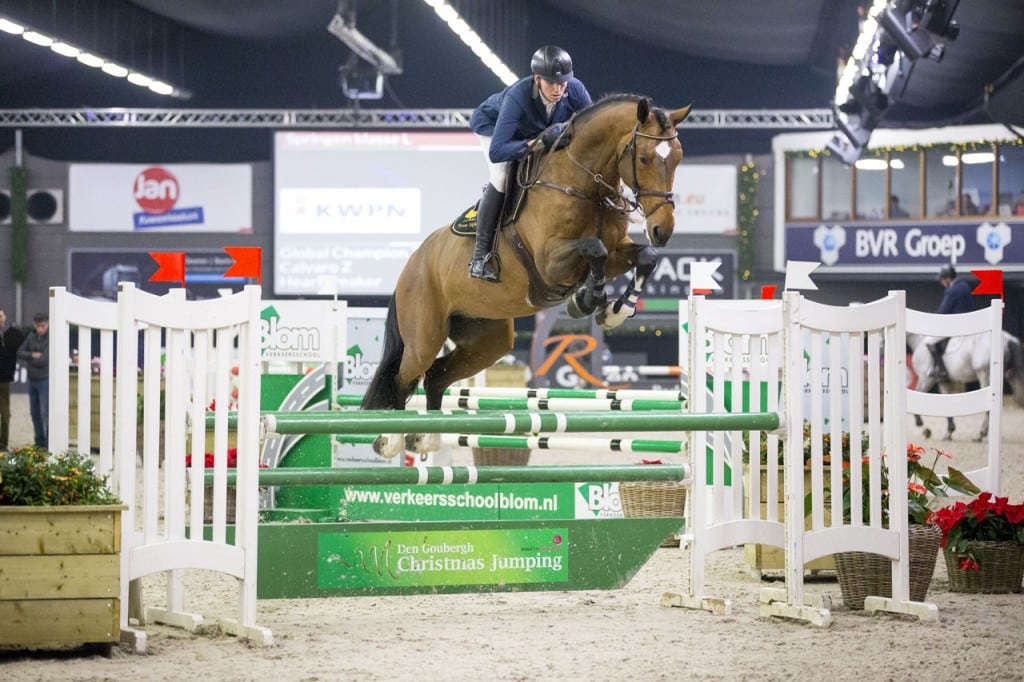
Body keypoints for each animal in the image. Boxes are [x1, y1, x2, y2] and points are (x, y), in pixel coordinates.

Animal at [360, 94, 688, 456]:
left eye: (678, 158)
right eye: (643, 158)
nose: (662, 231)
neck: (583, 184)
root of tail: (412, 264)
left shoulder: (619, 252)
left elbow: (645, 257)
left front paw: (615, 311)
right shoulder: (551, 263)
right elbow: (595, 249)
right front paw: (587, 300)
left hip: (488, 340)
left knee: (435, 376)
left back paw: (427, 437)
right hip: (424, 336)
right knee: (405, 377)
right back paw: (390, 439)